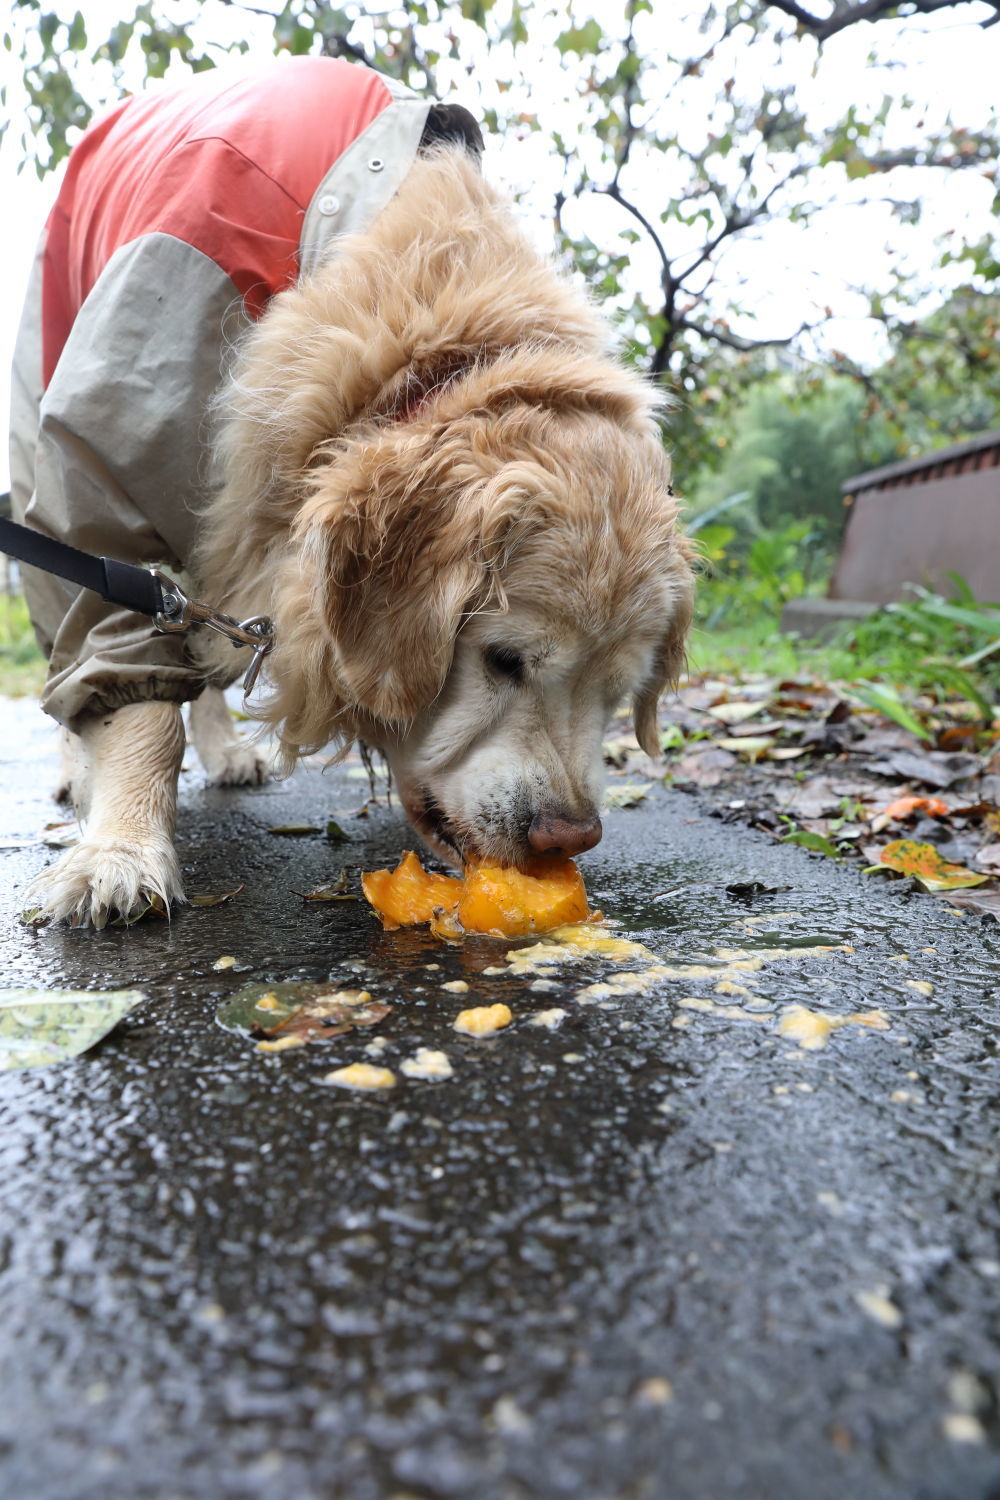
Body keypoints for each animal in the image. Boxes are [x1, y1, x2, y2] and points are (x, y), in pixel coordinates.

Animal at [29, 152, 689, 924]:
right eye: (503, 661)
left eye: (620, 690)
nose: (570, 837)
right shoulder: (115, 488)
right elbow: (135, 694)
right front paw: (123, 851)